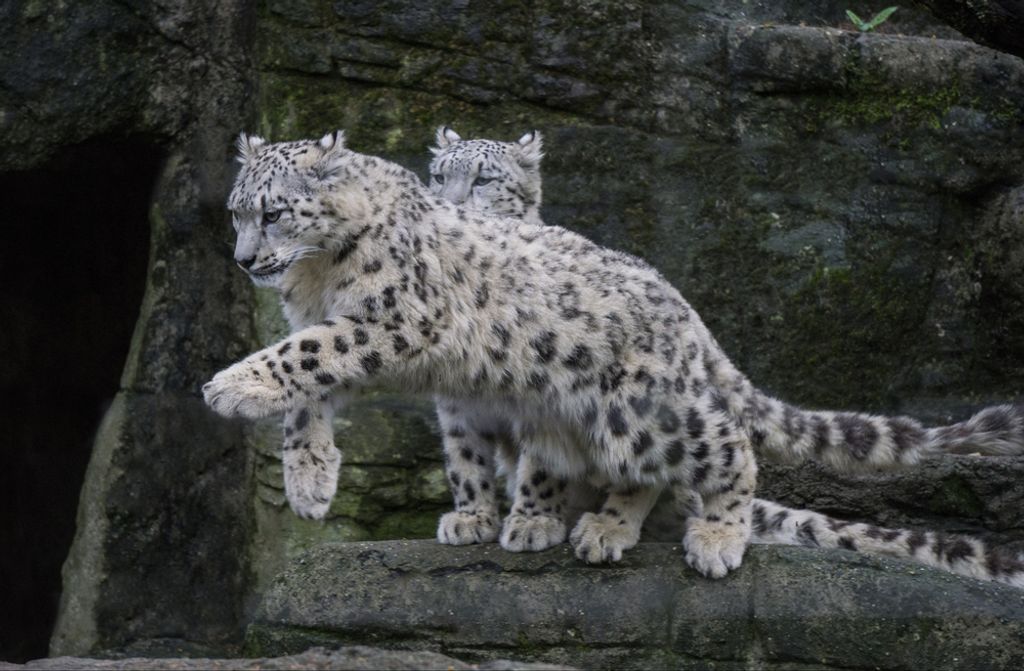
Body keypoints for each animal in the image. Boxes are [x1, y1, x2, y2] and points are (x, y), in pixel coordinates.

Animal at [204, 130, 1024, 587]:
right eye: (236, 210)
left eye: (273, 211)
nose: (243, 261)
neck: (317, 276)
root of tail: (691, 320)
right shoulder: (347, 330)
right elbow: (310, 383)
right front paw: (310, 479)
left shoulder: (392, 318)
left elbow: (306, 354)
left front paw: (229, 385)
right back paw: (604, 529)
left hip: (645, 413)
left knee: (728, 451)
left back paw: (714, 539)